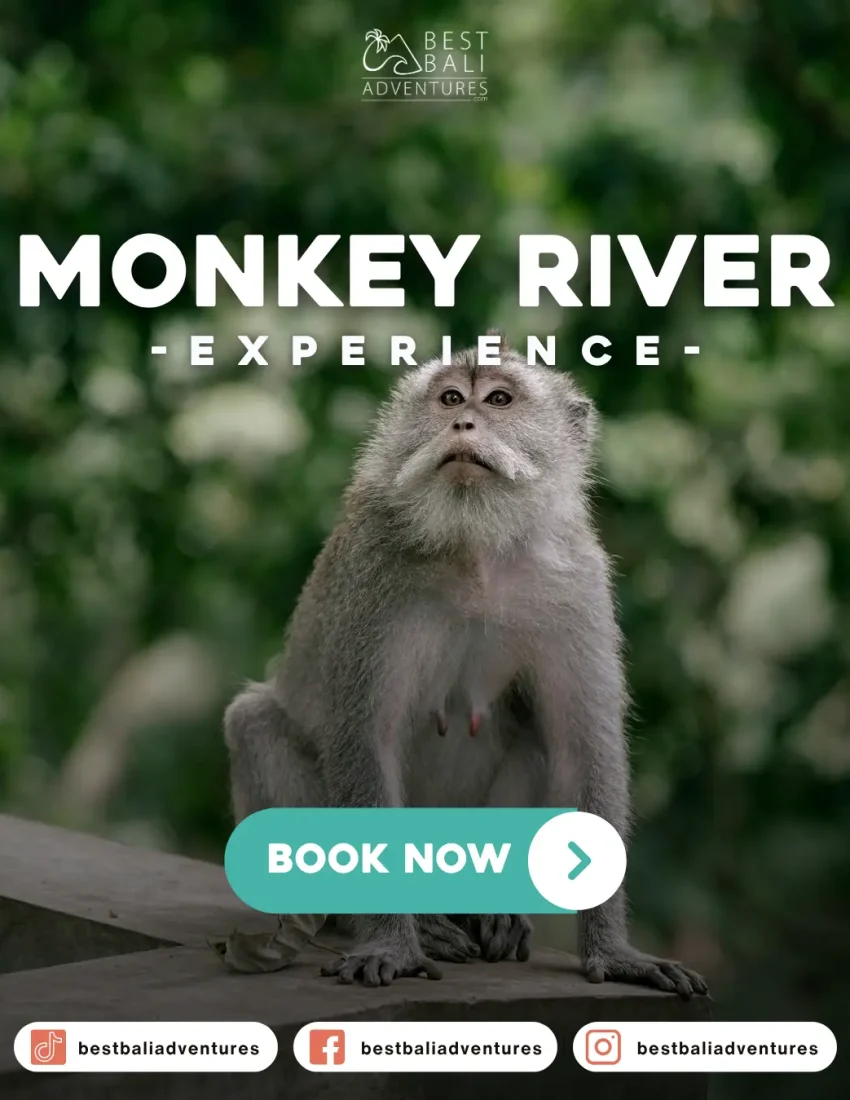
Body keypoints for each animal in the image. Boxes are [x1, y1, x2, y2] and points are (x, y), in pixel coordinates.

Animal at [224, 339, 708, 998]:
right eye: (451, 398)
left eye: (498, 399)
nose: (463, 424)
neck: (474, 547)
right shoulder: (372, 574)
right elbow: (363, 738)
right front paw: (393, 944)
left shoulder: (575, 581)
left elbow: (585, 746)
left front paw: (615, 951)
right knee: (254, 722)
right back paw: (398, 921)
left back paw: (486, 910)